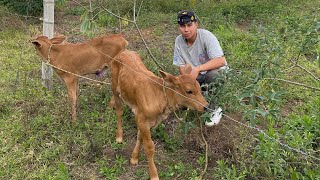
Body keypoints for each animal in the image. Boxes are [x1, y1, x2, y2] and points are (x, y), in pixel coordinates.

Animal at [109, 50, 210, 179]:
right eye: (189, 91)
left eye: (199, 86)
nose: (205, 106)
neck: (160, 99)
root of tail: (124, 52)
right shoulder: (142, 119)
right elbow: (149, 147)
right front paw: (154, 175)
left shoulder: (147, 120)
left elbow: (140, 137)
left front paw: (134, 157)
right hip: (114, 87)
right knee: (119, 111)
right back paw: (119, 136)